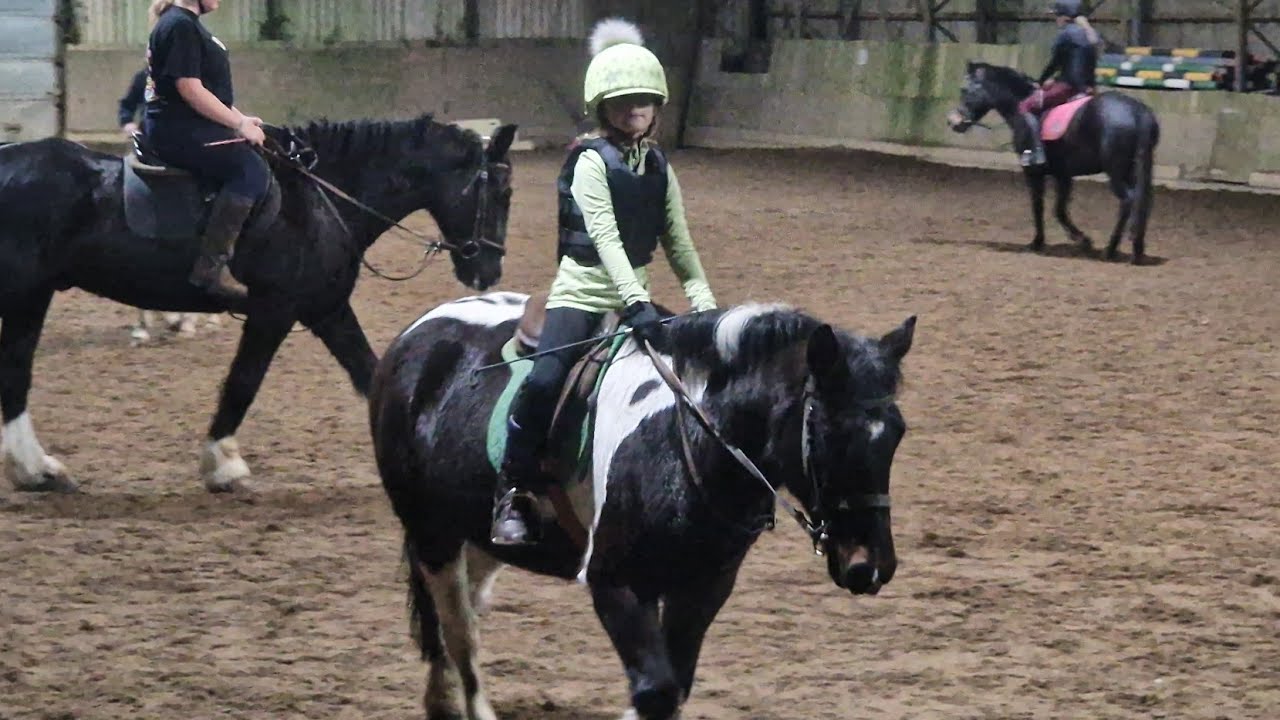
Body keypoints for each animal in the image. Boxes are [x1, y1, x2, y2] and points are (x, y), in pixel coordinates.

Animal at [0, 115, 516, 493]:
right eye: (502, 193)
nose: (488, 273)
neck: (322, 197)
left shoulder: (327, 310)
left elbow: (370, 374)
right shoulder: (274, 312)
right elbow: (243, 383)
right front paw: (222, 464)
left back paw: (33, 470)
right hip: (26, 293)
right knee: (16, 374)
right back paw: (38, 469)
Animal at [369, 294, 915, 720]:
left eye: (896, 433)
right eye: (827, 431)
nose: (870, 565)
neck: (688, 437)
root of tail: (418, 332)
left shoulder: (702, 588)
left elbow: (673, 687)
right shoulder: (614, 583)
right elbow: (656, 692)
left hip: (480, 538)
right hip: (432, 533)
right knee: (458, 628)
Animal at [947, 61, 1160, 264]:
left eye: (964, 89)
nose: (953, 122)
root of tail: (1138, 112)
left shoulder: (1033, 172)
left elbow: (1038, 205)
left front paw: (1037, 243)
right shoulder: (1063, 174)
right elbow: (1059, 210)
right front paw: (1083, 240)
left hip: (1116, 171)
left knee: (1128, 200)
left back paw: (1111, 250)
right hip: (1134, 169)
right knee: (1143, 202)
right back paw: (1137, 250)